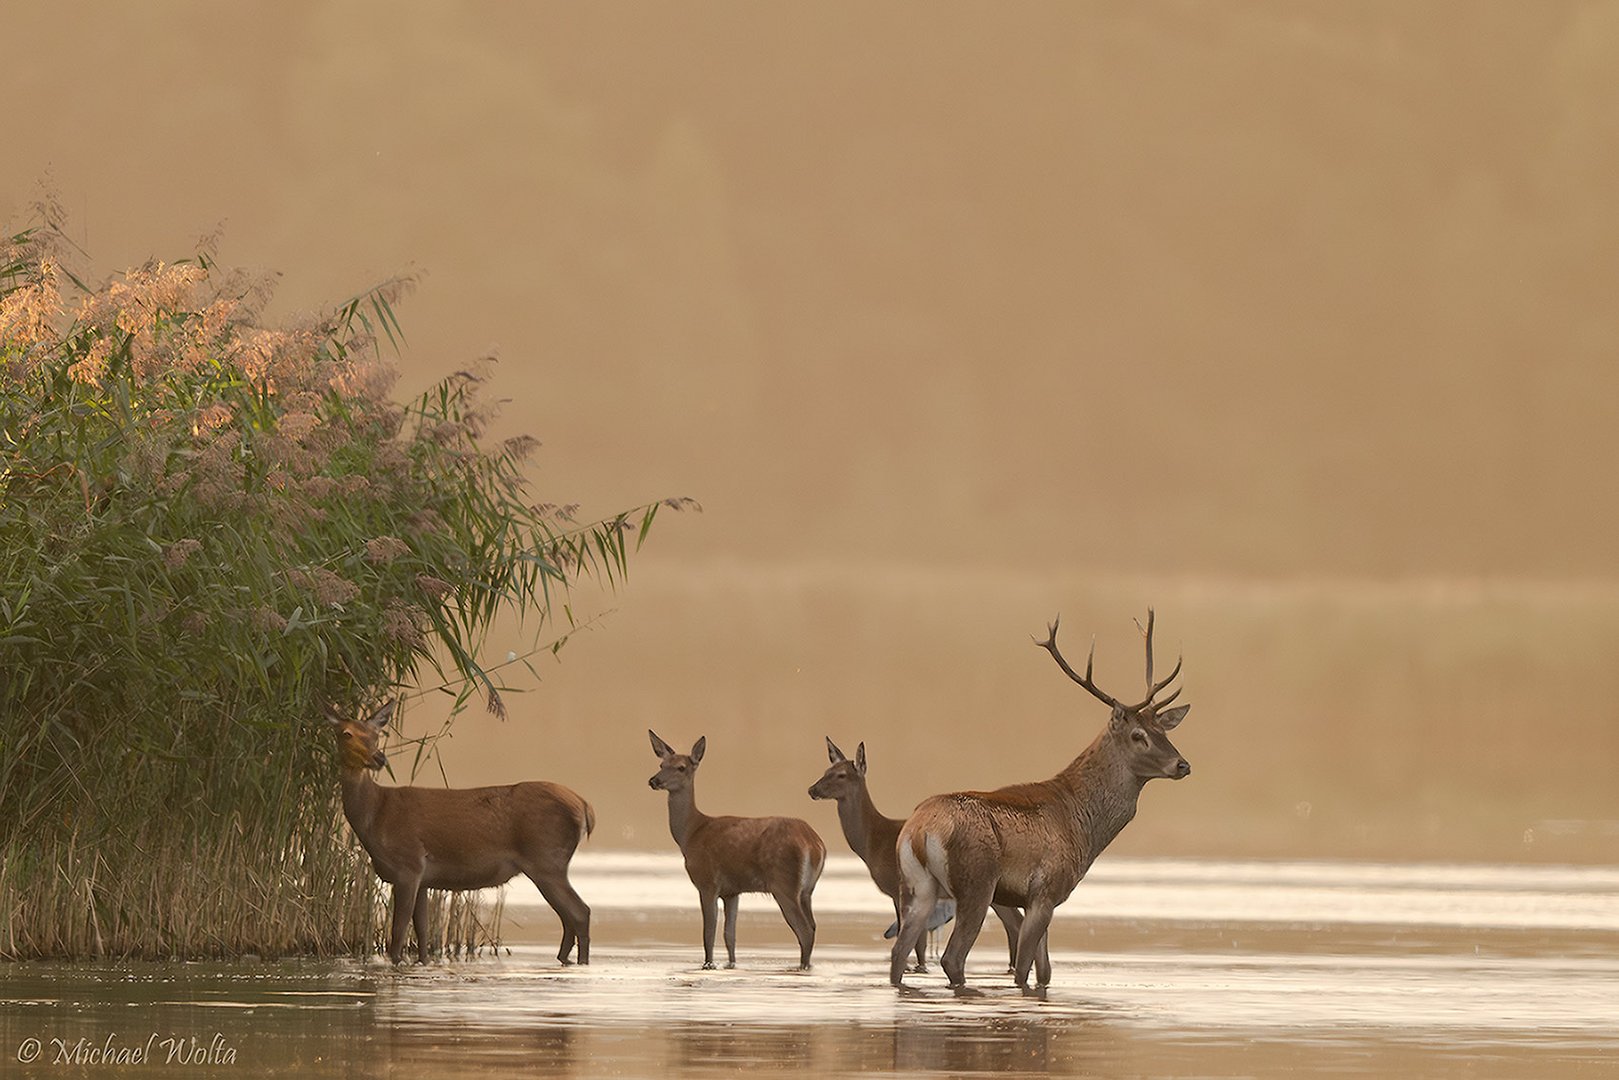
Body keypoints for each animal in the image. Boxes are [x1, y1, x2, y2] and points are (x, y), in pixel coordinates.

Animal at [327, 705, 595, 965]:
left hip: (547, 861)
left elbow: (399, 932)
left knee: (580, 912)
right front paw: (423, 963)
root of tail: (584, 807)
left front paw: (395, 962)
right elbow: (422, 932)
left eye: (376, 734)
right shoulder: (422, 878)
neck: (375, 816)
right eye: (346, 733)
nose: (378, 758)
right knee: (569, 916)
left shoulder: (408, 865)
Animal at [644, 735, 828, 971]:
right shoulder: (732, 891)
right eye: (661, 764)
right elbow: (729, 936)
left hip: (784, 884)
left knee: (805, 930)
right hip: (807, 890)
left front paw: (708, 965)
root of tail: (814, 843)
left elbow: (708, 933)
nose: (654, 780)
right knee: (813, 926)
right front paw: (730, 965)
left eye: (681, 767)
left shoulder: (707, 882)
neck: (691, 833)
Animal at [809, 738, 1023, 977]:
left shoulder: (896, 887)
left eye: (841, 775)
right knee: (1015, 922)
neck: (872, 843)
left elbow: (915, 940)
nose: (812, 789)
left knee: (1015, 922)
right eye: (826, 770)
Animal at [887, 612, 1191, 990]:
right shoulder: (1046, 889)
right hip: (976, 883)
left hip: (916, 887)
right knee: (952, 957)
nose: (1182, 764)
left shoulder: (1045, 898)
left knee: (897, 954)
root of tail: (919, 830)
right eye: (1139, 735)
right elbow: (1023, 970)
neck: (1083, 824)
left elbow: (1045, 971)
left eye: (1164, 731)